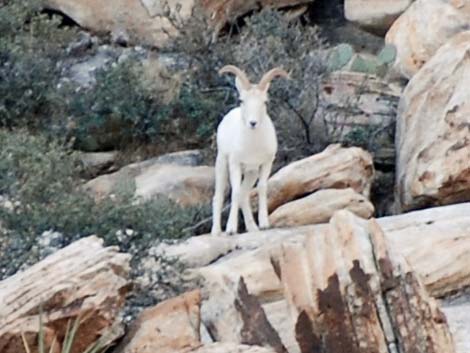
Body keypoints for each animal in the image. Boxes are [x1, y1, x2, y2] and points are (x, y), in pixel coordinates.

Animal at [211, 66, 288, 236]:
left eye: (265, 101)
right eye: (242, 101)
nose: (253, 123)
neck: (253, 146)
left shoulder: (265, 164)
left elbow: (262, 188)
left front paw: (264, 224)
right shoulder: (235, 164)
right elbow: (235, 192)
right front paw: (231, 229)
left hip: (251, 173)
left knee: (244, 195)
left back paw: (252, 228)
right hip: (222, 164)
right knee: (219, 197)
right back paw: (216, 231)